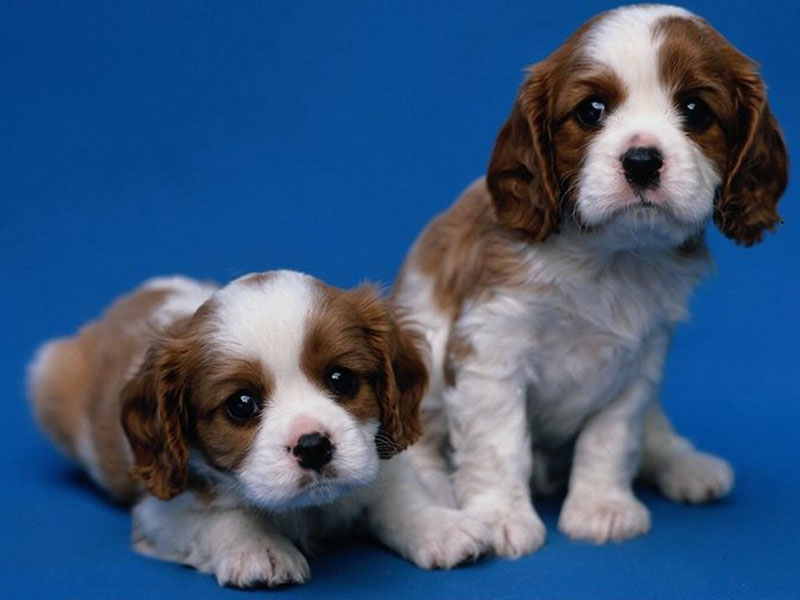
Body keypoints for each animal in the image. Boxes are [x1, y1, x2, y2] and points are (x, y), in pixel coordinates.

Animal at [29, 271, 484, 585]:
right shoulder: (160, 512)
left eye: (341, 379)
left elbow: (400, 495)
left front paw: (441, 526)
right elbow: (222, 519)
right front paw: (259, 547)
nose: (313, 445)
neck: (306, 510)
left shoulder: (374, 457)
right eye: (241, 405)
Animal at [380, 3, 788, 561]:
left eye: (696, 110)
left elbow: (611, 439)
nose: (642, 160)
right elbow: (499, 443)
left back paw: (686, 464)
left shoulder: (639, 364)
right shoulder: (491, 350)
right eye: (591, 111)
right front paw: (501, 516)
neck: (611, 256)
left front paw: (601, 507)